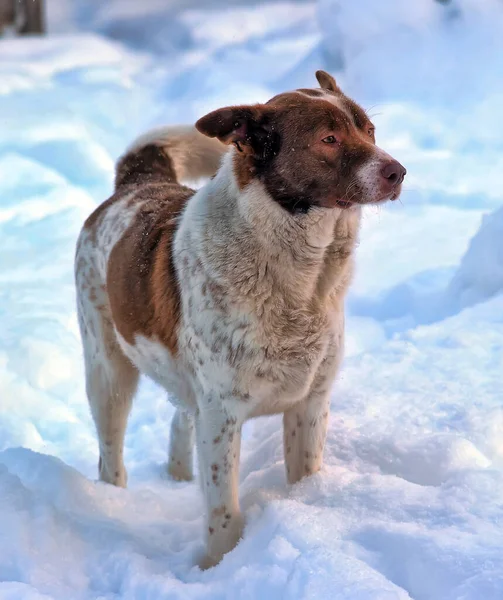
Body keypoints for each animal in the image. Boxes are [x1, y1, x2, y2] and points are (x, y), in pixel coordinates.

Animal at [74, 70, 406, 568]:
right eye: (328, 138)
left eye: (370, 130)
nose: (398, 171)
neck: (298, 277)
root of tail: (136, 185)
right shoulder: (221, 414)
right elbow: (223, 511)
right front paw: (217, 567)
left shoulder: (311, 403)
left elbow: (302, 474)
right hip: (107, 370)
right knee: (110, 452)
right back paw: (114, 500)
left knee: (180, 418)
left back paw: (177, 476)